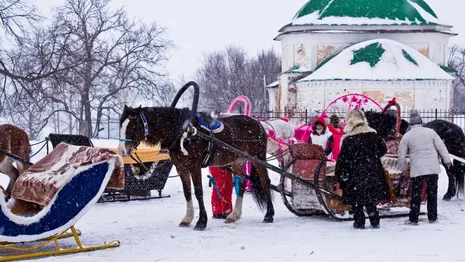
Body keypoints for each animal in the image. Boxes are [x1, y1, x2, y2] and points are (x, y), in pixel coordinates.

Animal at [118, 105, 274, 230]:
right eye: (121, 125)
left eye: (133, 126)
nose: (121, 151)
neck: (183, 131)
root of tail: (258, 123)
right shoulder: (181, 167)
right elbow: (187, 192)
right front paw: (187, 219)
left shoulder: (194, 166)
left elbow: (198, 192)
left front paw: (201, 222)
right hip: (238, 161)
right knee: (240, 184)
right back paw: (234, 215)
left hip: (258, 158)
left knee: (265, 182)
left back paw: (269, 215)